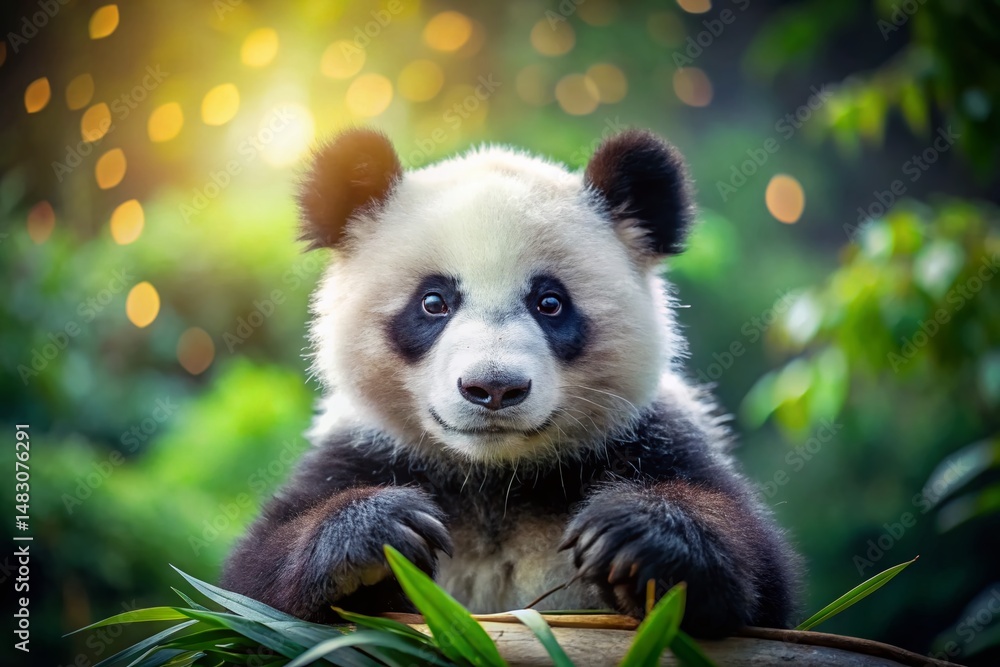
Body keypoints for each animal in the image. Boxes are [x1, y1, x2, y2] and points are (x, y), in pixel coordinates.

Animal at [221, 127, 800, 638]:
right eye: (434, 302)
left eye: (550, 302)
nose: (493, 388)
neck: (496, 481)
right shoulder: (360, 453)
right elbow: (251, 591)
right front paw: (376, 534)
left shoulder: (653, 439)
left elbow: (762, 584)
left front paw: (638, 539)